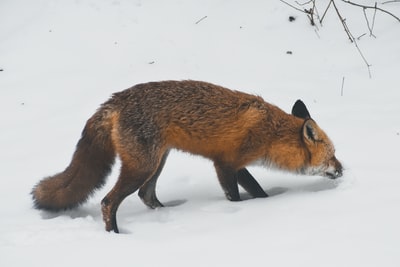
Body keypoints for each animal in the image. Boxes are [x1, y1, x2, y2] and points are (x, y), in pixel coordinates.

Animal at [32, 80, 342, 233]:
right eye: (332, 155)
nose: (343, 169)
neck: (271, 131)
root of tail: (115, 100)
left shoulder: (236, 166)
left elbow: (259, 192)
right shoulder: (226, 164)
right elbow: (238, 196)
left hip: (158, 161)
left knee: (146, 195)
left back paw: (170, 215)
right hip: (142, 166)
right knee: (109, 202)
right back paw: (116, 236)